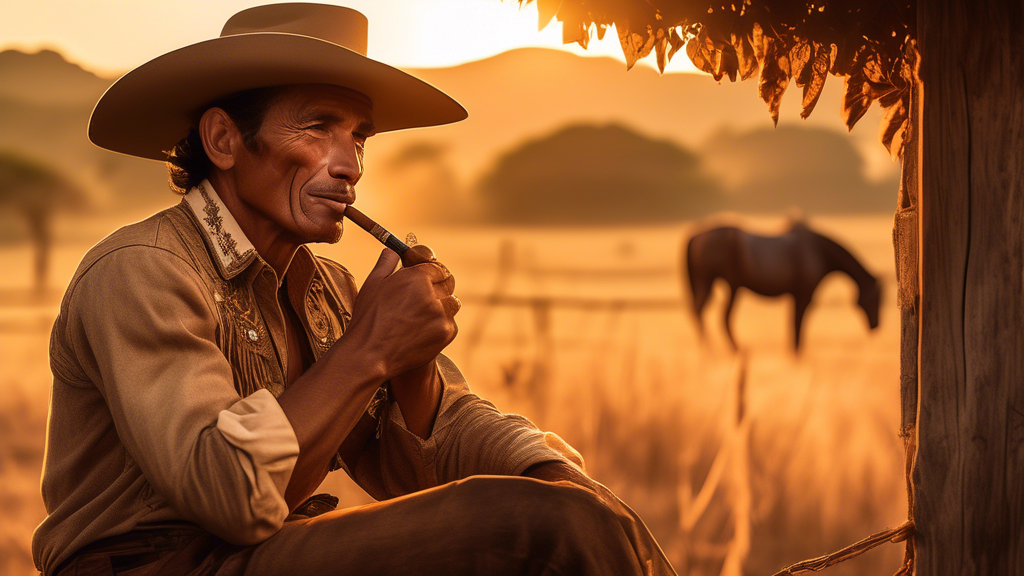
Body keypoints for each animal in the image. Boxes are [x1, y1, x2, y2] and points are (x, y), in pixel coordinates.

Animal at [679, 222, 880, 350]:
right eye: (876, 299)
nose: (876, 325)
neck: (817, 252)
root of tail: (696, 236)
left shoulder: (796, 298)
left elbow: (793, 328)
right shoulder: (803, 297)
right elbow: (796, 329)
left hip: (720, 285)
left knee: (706, 314)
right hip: (723, 285)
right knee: (716, 317)